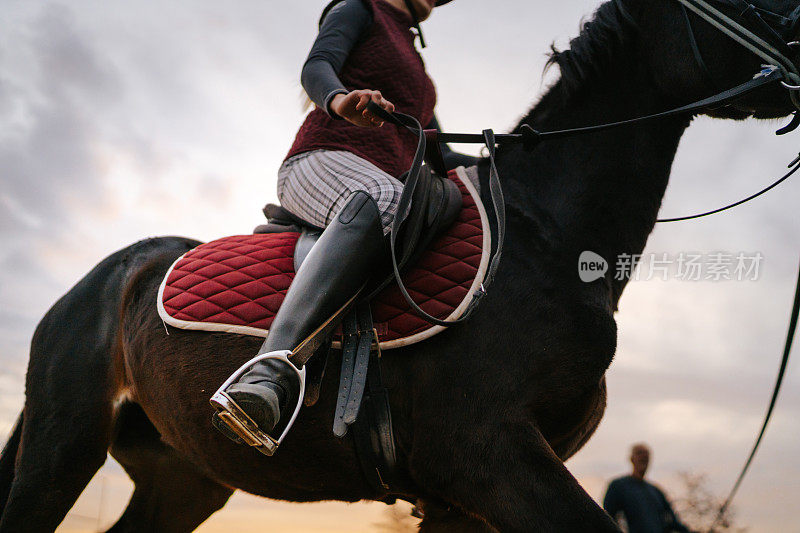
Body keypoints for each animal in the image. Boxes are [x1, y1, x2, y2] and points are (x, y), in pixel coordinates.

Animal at [1, 0, 800, 528]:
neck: (548, 239)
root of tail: (113, 274)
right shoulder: (492, 457)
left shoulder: (461, 497)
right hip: (62, 443)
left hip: (182, 477)